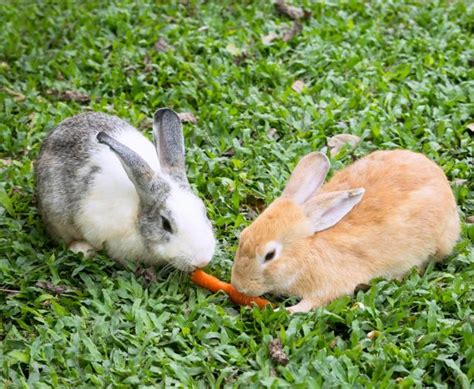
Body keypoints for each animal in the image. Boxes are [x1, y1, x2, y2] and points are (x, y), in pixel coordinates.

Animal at [231, 149, 462, 312]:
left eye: (270, 255)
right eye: (243, 236)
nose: (239, 286)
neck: (306, 251)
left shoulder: (328, 287)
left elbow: (312, 302)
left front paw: (288, 311)